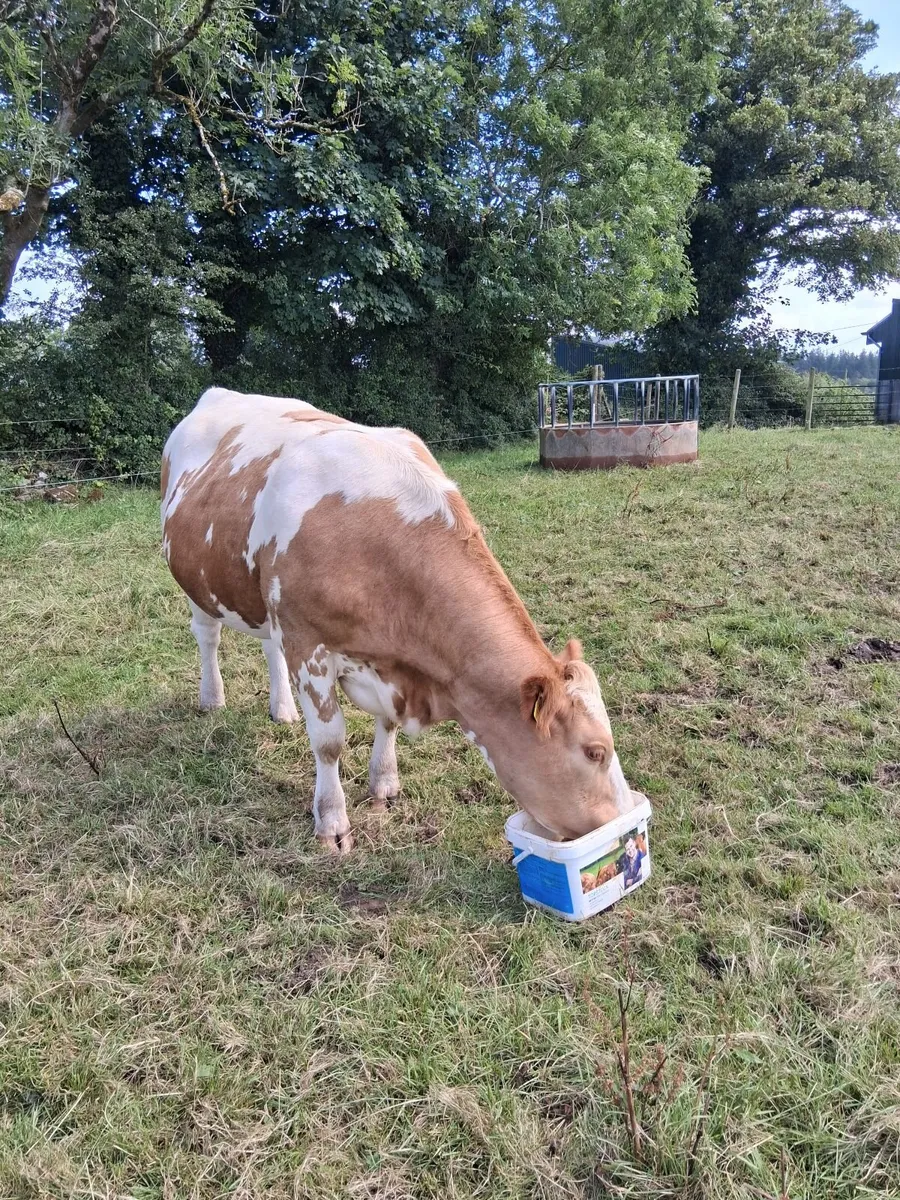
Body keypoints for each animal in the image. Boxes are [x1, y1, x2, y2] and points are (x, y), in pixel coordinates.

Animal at [161, 387, 639, 852]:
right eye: (595, 751)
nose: (618, 822)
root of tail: (216, 394)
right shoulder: (306, 642)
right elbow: (329, 741)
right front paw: (332, 822)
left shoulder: (386, 664)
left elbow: (385, 722)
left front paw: (385, 784)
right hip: (197, 581)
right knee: (208, 636)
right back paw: (212, 698)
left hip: (262, 601)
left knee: (266, 645)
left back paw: (282, 709)